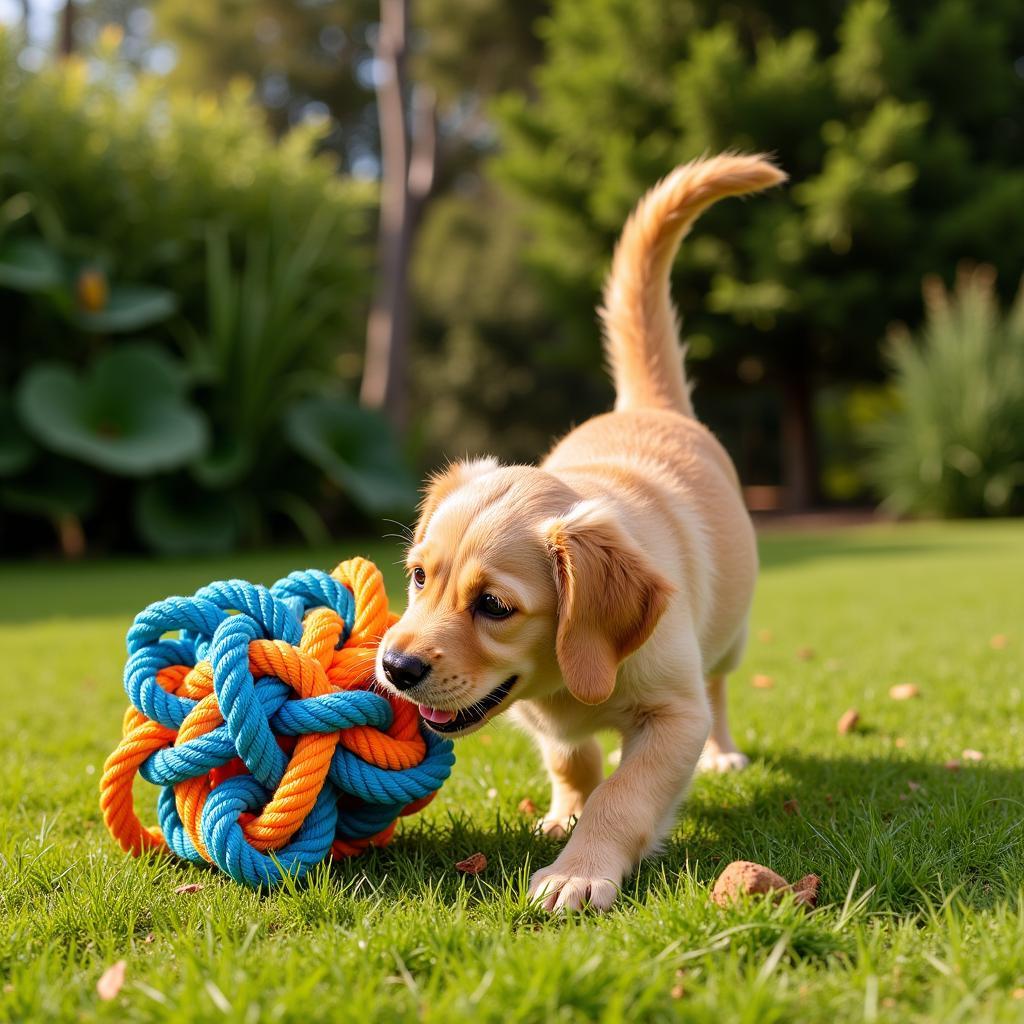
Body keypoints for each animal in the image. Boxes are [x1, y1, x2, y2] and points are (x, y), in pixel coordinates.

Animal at [376, 153, 782, 913]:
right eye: (418, 576)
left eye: (494, 606)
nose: (394, 667)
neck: (569, 677)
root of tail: (646, 404)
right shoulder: (538, 716)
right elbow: (573, 758)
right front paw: (565, 814)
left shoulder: (673, 714)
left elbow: (624, 794)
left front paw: (579, 868)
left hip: (732, 635)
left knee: (718, 688)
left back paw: (723, 753)